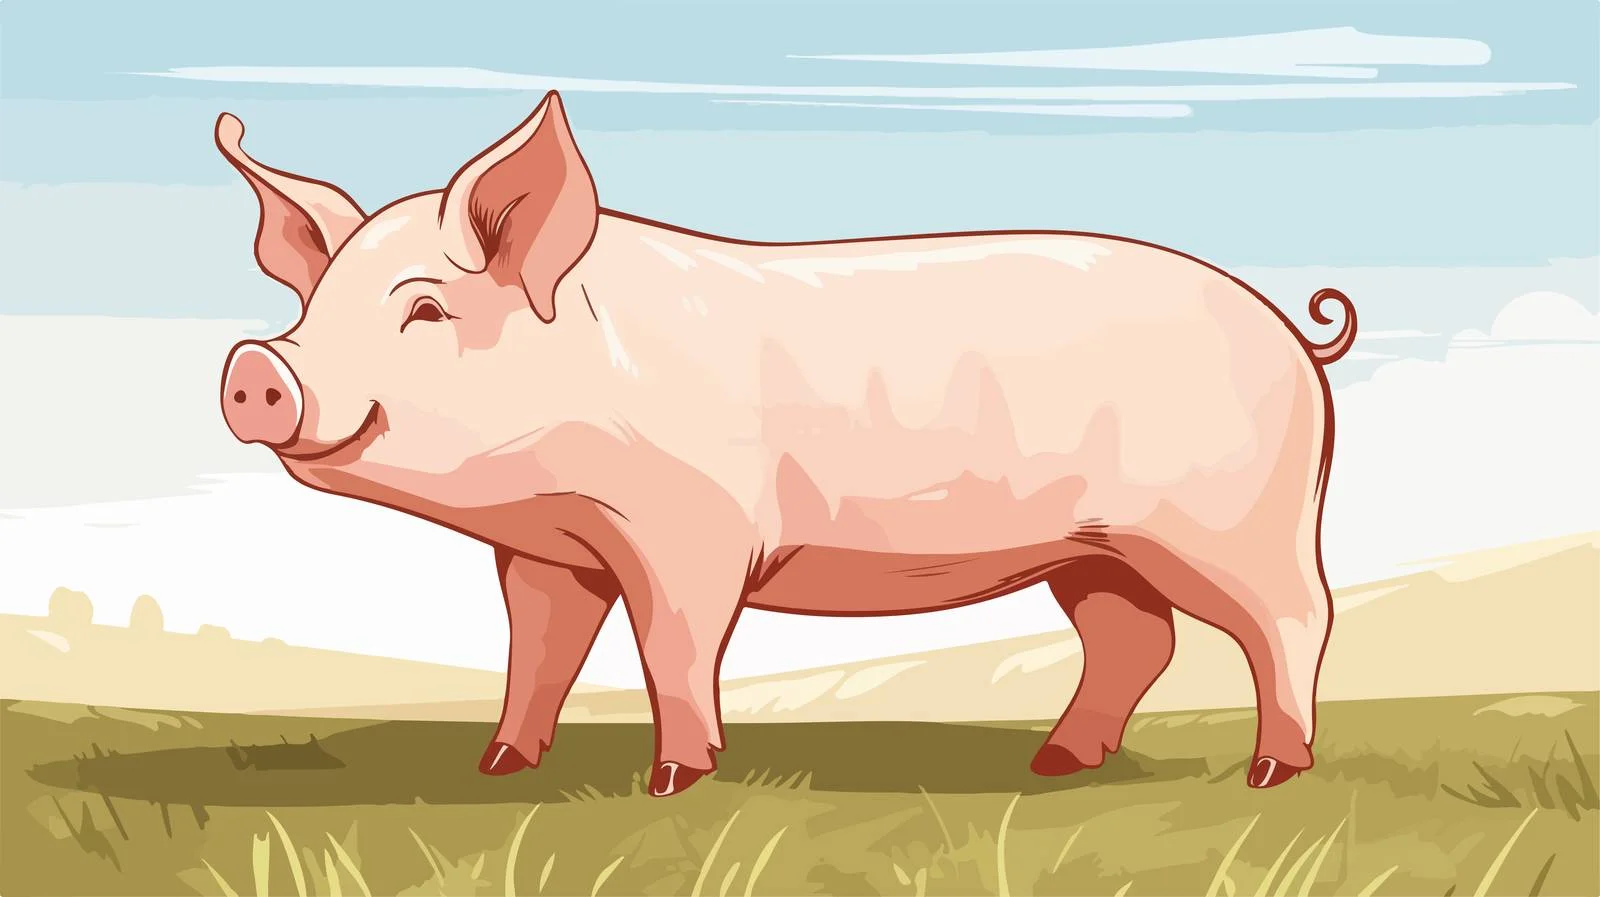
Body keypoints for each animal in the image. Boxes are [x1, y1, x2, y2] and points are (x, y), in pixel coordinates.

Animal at [216, 91, 1357, 797]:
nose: (255, 364)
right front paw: (500, 768)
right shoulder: (547, 551)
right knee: (1136, 638)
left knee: (1295, 620)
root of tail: (1296, 336)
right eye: (312, 304)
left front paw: (673, 781)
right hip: (1091, 549)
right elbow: (536, 653)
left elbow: (674, 648)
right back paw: (1056, 766)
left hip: (1235, 523)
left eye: (423, 310)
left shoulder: (693, 535)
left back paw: (1273, 773)